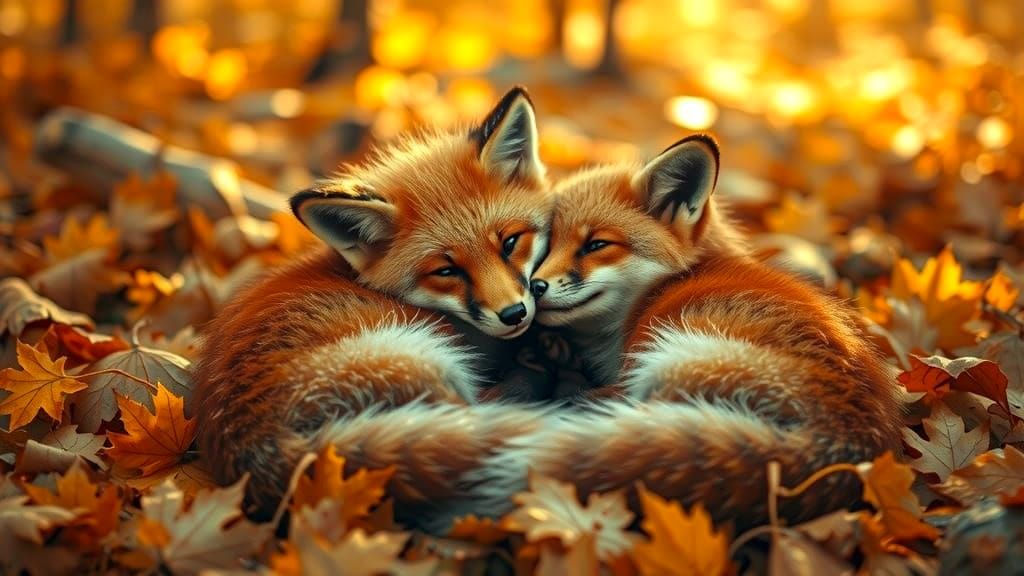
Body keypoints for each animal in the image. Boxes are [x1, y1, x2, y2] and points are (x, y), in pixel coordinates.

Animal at [192, 87, 554, 530]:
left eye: (510, 242)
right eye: (446, 270)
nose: (514, 315)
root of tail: (255, 453)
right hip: (424, 357)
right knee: (482, 410)